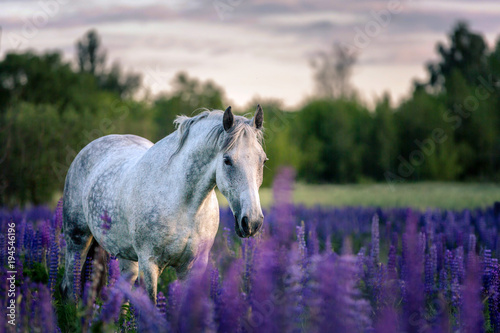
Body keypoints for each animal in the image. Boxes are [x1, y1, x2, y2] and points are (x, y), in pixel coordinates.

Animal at [61, 105, 266, 300]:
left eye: (263, 160)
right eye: (227, 160)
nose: (252, 222)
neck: (185, 207)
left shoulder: (192, 267)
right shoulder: (149, 264)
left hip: (127, 259)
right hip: (77, 242)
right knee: (71, 286)